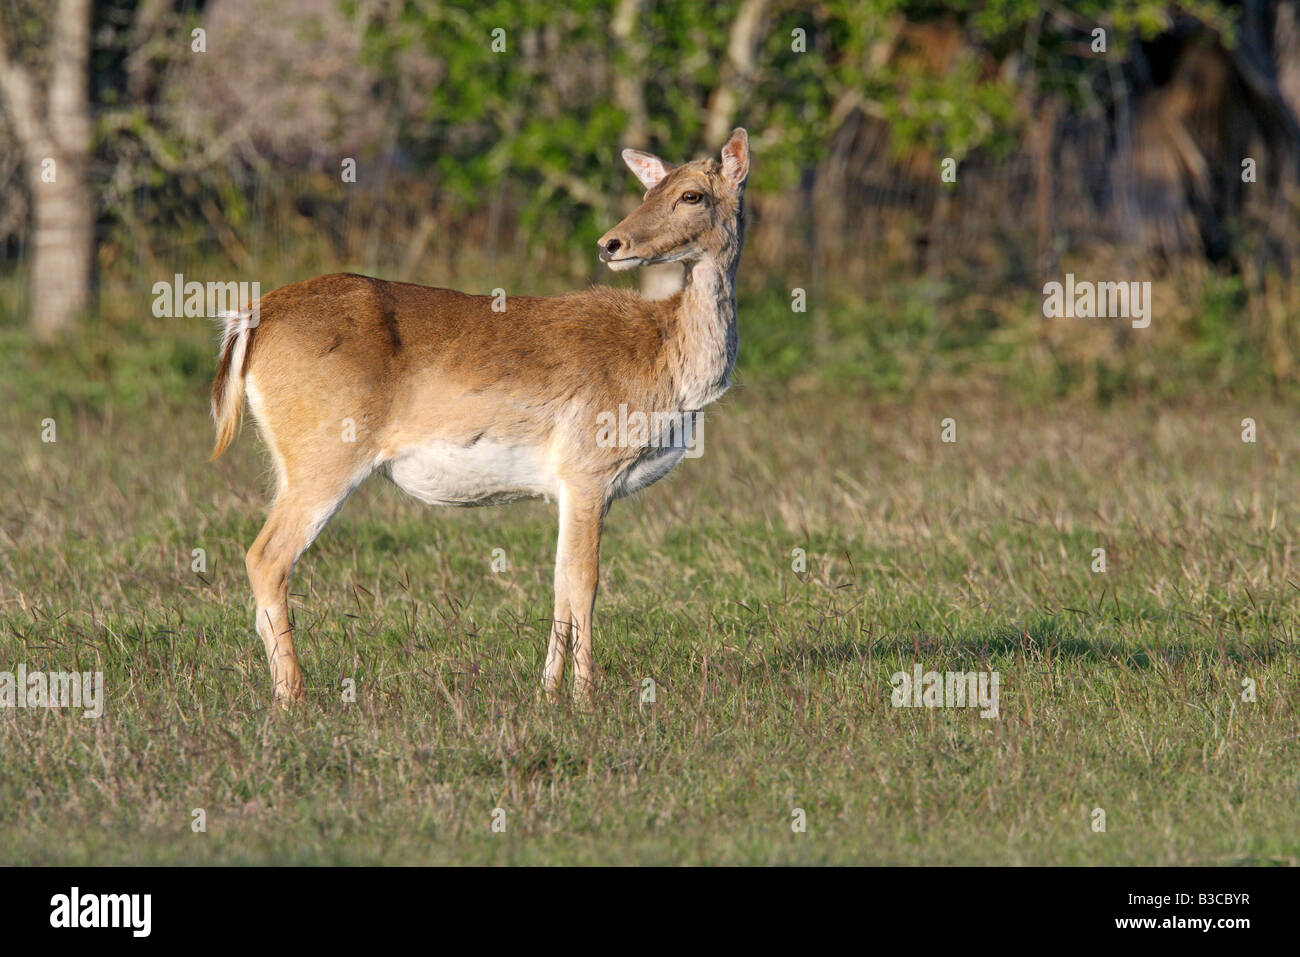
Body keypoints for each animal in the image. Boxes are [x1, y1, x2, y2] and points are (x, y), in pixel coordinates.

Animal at [205, 127, 754, 707]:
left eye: (690, 194)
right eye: (652, 191)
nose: (611, 244)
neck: (668, 364)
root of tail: (248, 320)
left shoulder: (569, 485)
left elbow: (560, 584)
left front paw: (548, 691)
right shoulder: (588, 467)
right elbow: (586, 584)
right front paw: (586, 697)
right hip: (324, 454)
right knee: (266, 557)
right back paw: (292, 695)